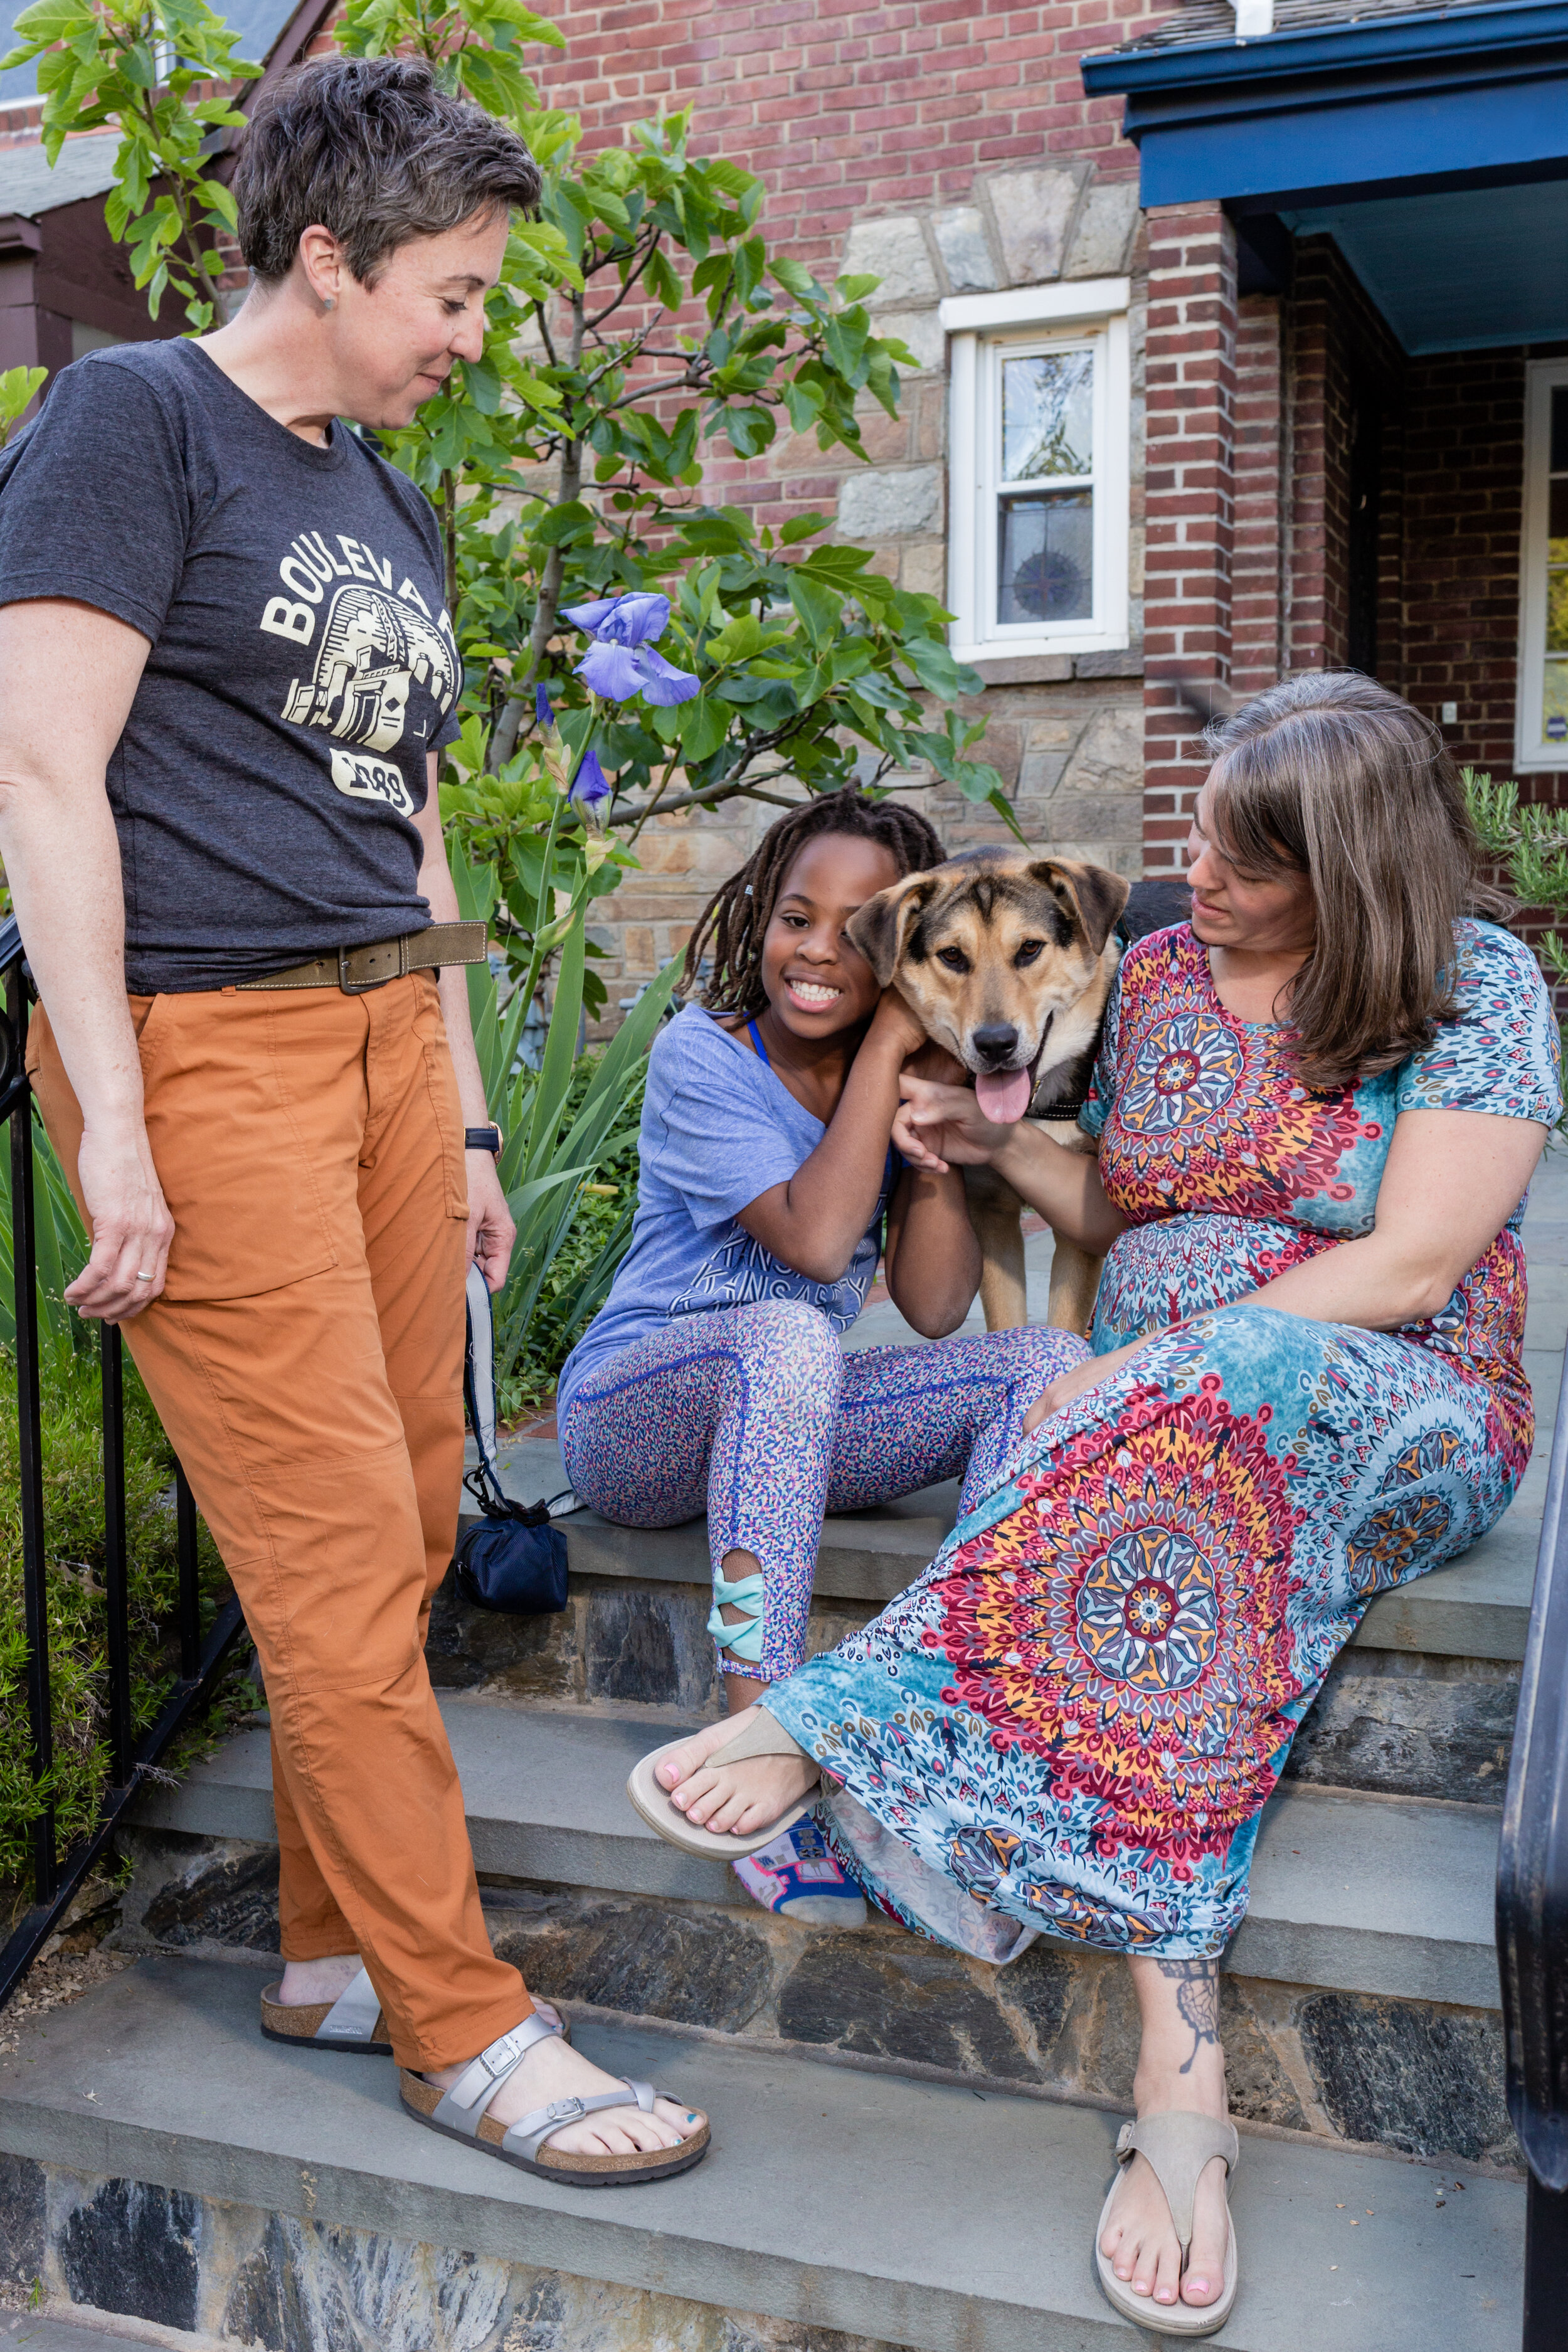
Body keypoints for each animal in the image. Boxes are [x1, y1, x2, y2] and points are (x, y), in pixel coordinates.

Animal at [850, 856, 1194, 1345]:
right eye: (952, 956)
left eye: (1030, 948)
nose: (996, 1044)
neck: (1034, 1109)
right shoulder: (990, 1212)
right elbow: (1008, 1323)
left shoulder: (1077, 1223)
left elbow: (1064, 1321)